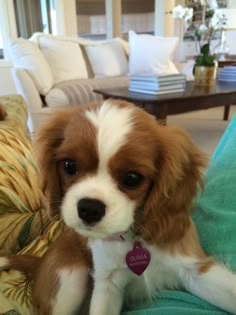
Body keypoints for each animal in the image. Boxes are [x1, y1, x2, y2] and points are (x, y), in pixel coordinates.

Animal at [0, 100, 236, 315]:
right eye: (69, 166)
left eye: (132, 178)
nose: (89, 208)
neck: (132, 238)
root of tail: (40, 262)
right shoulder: (107, 284)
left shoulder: (196, 269)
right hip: (70, 276)